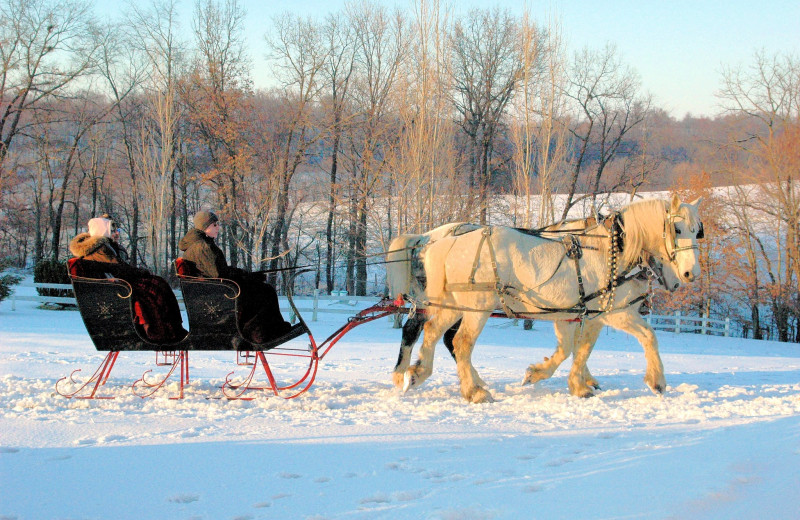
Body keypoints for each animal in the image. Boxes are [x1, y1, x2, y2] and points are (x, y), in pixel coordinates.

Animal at [384, 195, 704, 402]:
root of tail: (440, 241)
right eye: (676, 229)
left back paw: (417, 374)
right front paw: (656, 381)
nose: (688, 275)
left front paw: (549, 376)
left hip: (452, 302)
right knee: (456, 341)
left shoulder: (573, 314)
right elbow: (645, 337)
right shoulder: (613, 312)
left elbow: (573, 349)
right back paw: (472, 391)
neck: (611, 250)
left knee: (432, 332)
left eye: (697, 231)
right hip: (476, 306)